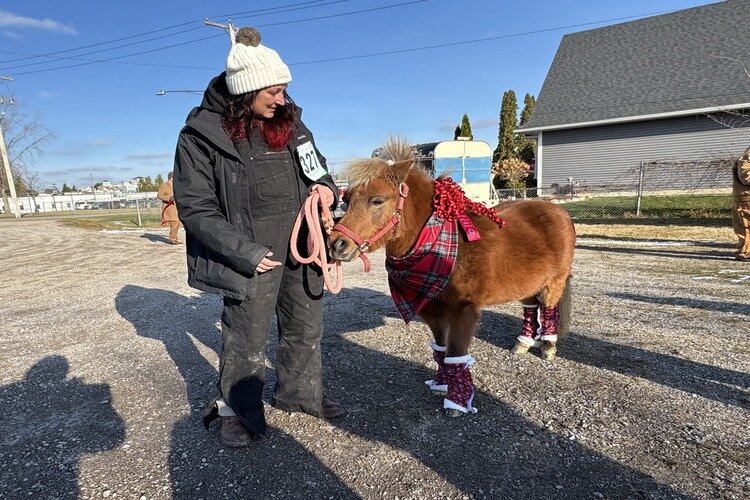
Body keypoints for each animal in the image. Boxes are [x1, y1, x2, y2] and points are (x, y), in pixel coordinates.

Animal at [328, 142, 576, 418]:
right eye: (346, 200)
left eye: (377, 200)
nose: (335, 245)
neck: (439, 246)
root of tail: (559, 210)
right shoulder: (433, 312)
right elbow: (441, 350)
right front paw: (441, 384)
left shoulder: (463, 311)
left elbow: (456, 353)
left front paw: (456, 402)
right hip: (529, 284)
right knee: (531, 308)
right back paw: (522, 344)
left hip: (554, 282)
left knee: (550, 308)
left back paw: (548, 348)